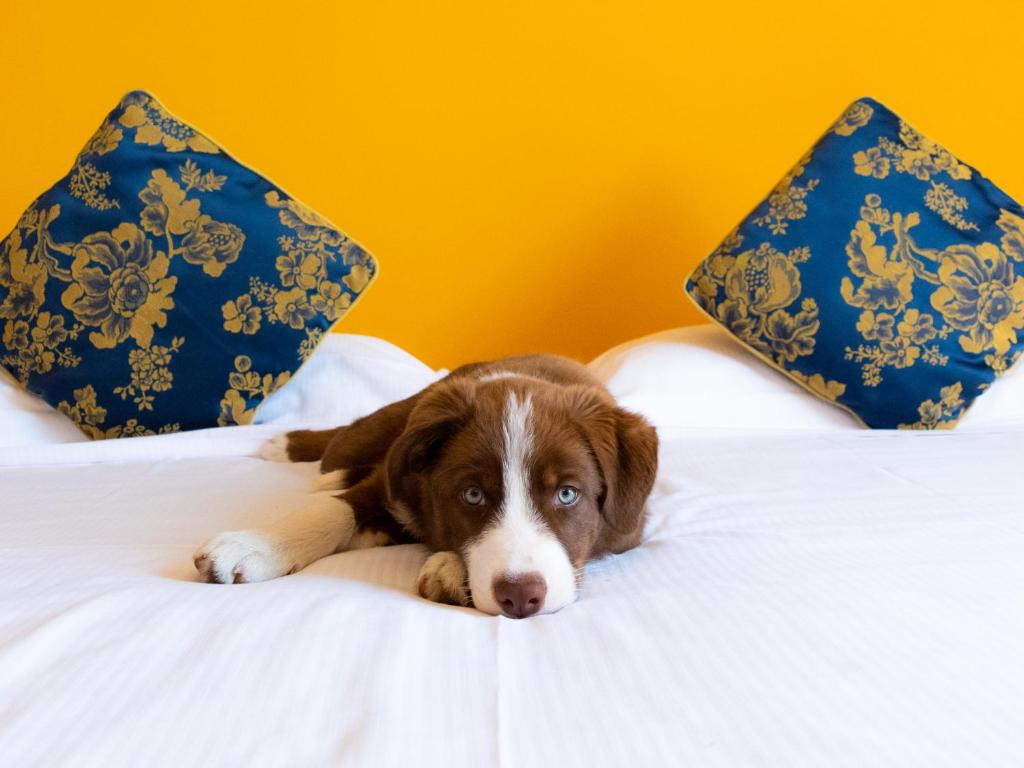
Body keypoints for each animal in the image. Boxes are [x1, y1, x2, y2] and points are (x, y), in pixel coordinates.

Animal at [192, 354, 659, 618]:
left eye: (567, 494)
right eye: (472, 494)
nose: (520, 596)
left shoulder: (629, 530)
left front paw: (449, 568)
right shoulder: (394, 487)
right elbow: (334, 510)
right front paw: (254, 544)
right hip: (382, 427)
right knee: (343, 442)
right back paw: (290, 446)